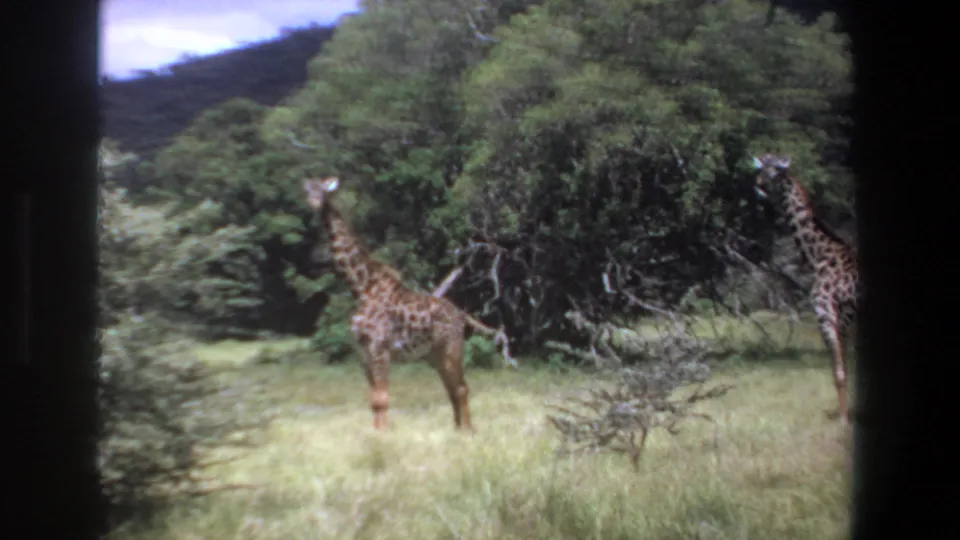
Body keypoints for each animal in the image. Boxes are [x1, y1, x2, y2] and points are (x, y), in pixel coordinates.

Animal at [303, 176, 511, 432]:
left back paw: (469, 432)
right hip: (434, 355)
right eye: (307, 190)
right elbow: (373, 400)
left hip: (452, 347)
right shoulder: (363, 351)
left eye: (323, 190)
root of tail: (462, 314)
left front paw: (383, 437)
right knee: (452, 389)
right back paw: (456, 430)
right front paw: (375, 435)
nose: (313, 203)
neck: (361, 287)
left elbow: (381, 399)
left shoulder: (380, 347)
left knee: (462, 388)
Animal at [751, 153, 859, 424]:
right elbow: (845, 368)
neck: (819, 254)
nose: (758, 185)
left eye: (775, 171)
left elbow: (840, 372)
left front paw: (844, 420)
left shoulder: (827, 314)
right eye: (760, 168)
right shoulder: (844, 321)